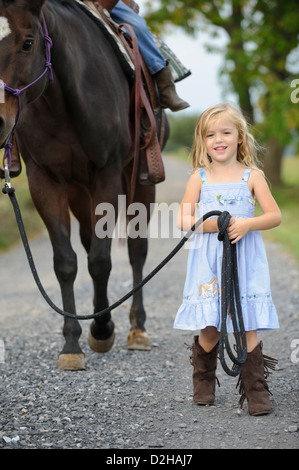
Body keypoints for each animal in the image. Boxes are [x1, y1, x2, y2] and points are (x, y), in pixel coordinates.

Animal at [0, 0, 169, 370]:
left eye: (27, 43)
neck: (61, 103)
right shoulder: (45, 181)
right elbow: (67, 261)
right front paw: (72, 344)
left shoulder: (107, 175)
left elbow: (101, 261)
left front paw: (103, 330)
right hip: (79, 193)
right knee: (91, 240)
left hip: (140, 180)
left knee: (136, 250)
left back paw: (136, 329)